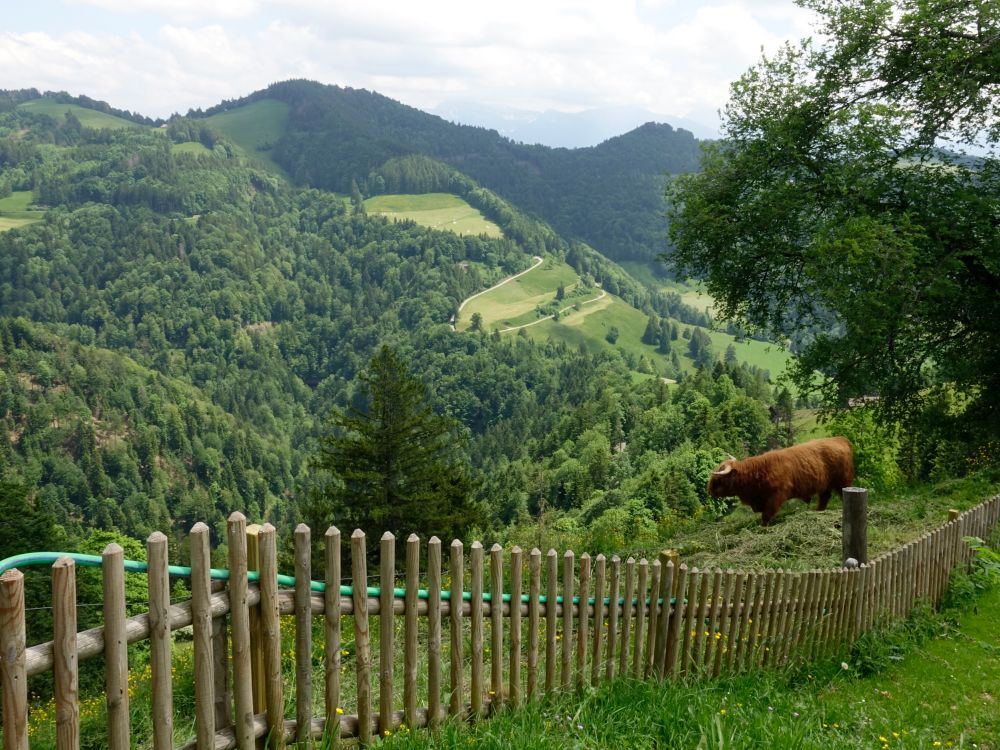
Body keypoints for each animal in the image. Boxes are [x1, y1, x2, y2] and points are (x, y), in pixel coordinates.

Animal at [708, 434, 856, 528]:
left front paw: (763, 528)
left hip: (843, 481)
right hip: (825, 485)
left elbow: (766, 515)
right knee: (824, 498)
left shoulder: (776, 496)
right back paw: (818, 511)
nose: (709, 491)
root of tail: (840, 439)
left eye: (718, 478)